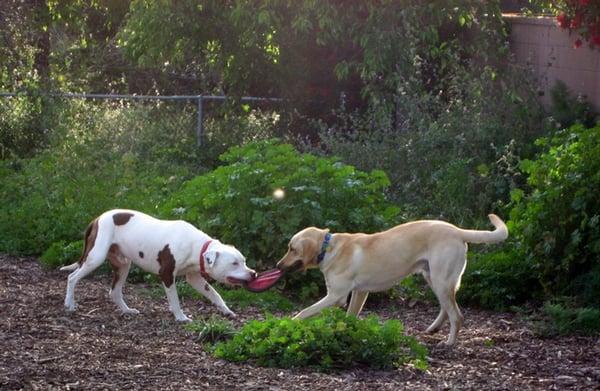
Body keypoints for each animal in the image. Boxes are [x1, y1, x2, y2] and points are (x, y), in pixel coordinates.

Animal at [61, 210, 255, 324]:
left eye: (244, 261)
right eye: (234, 263)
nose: (253, 273)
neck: (196, 246)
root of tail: (98, 218)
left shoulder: (195, 278)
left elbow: (215, 294)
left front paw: (227, 311)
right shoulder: (167, 275)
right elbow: (175, 299)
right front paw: (181, 317)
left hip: (123, 265)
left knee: (114, 292)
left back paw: (127, 310)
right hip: (96, 258)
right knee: (72, 277)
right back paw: (69, 303)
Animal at [276, 214, 506, 346]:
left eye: (292, 248)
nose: (278, 265)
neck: (328, 248)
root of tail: (457, 230)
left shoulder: (336, 296)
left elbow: (305, 311)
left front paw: (290, 322)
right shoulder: (360, 293)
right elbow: (350, 317)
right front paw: (348, 334)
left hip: (440, 281)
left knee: (457, 315)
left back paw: (449, 343)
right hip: (434, 279)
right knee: (446, 307)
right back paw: (434, 328)